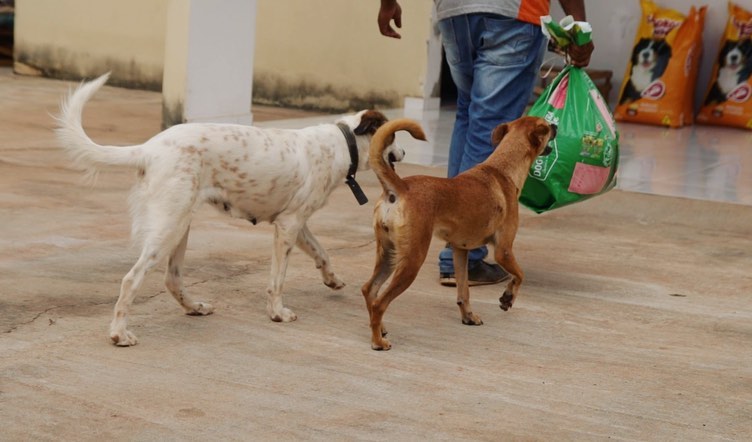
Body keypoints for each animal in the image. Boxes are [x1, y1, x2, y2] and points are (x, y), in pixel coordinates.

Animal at [55, 72, 402, 348]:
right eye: (394, 136)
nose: (403, 152)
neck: (344, 143)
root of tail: (147, 149)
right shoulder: (288, 225)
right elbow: (277, 279)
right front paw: (277, 313)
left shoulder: (294, 222)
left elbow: (322, 252)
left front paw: (332, 280)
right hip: (169, 225)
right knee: (131, 279)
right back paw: (119, 333)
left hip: (181, 224)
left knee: (172, 278)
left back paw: (193, 308)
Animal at [362, 115, 556, 350]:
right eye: (546, 126)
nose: (556, 125)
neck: (502, 170)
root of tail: (400, 187)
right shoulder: (504, 251)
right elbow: (519, 275)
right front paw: (507, 298)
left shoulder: (459, 251)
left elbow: (463, 290)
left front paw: (468, 317)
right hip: (412, 260)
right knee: (380, 303)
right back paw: (377, 341)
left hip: (388, 254)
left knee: (370, 291)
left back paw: (379, 327)